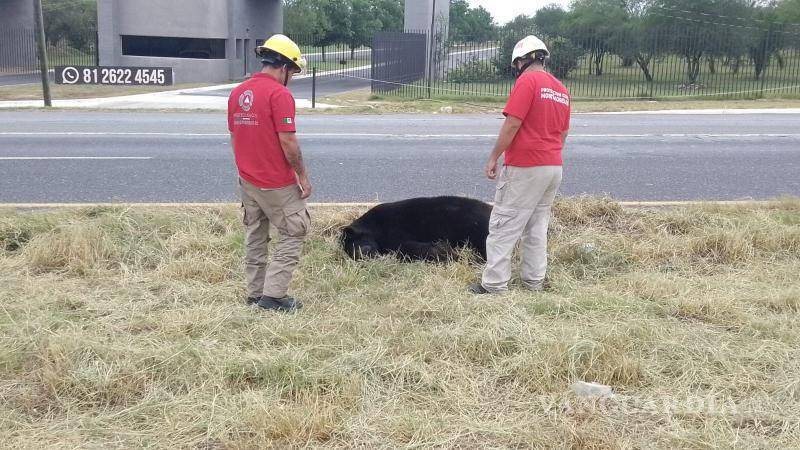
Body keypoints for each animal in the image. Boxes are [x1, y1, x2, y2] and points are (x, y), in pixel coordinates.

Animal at [340, 196, 492, 262]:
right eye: (347, 252)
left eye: (353, 242)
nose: (361, 257)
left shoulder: (395, 229)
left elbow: (405, 247)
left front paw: (445, 252)